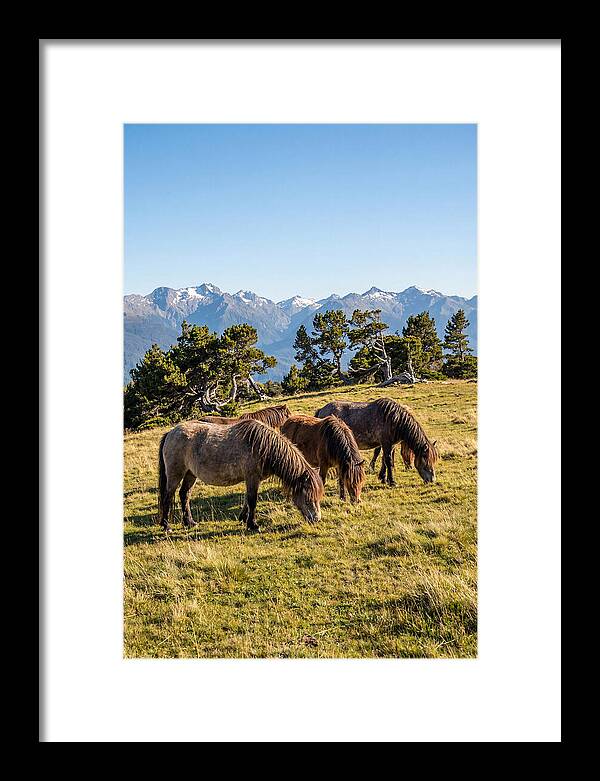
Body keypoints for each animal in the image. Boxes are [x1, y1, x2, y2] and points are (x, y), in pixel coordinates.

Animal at [158, 418, 323, 532]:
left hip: (190, 474)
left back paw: (189, 522)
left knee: (184, 495)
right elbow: (252, 500)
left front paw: (244, 518)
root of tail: (170, 433)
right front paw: (253, 525)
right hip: (175, 474)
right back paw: (166, 526)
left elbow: (246, 500)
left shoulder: (252, 480)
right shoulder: (252, 478)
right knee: (168, 496)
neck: (263, 447)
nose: (316, 519)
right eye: (308, 497)